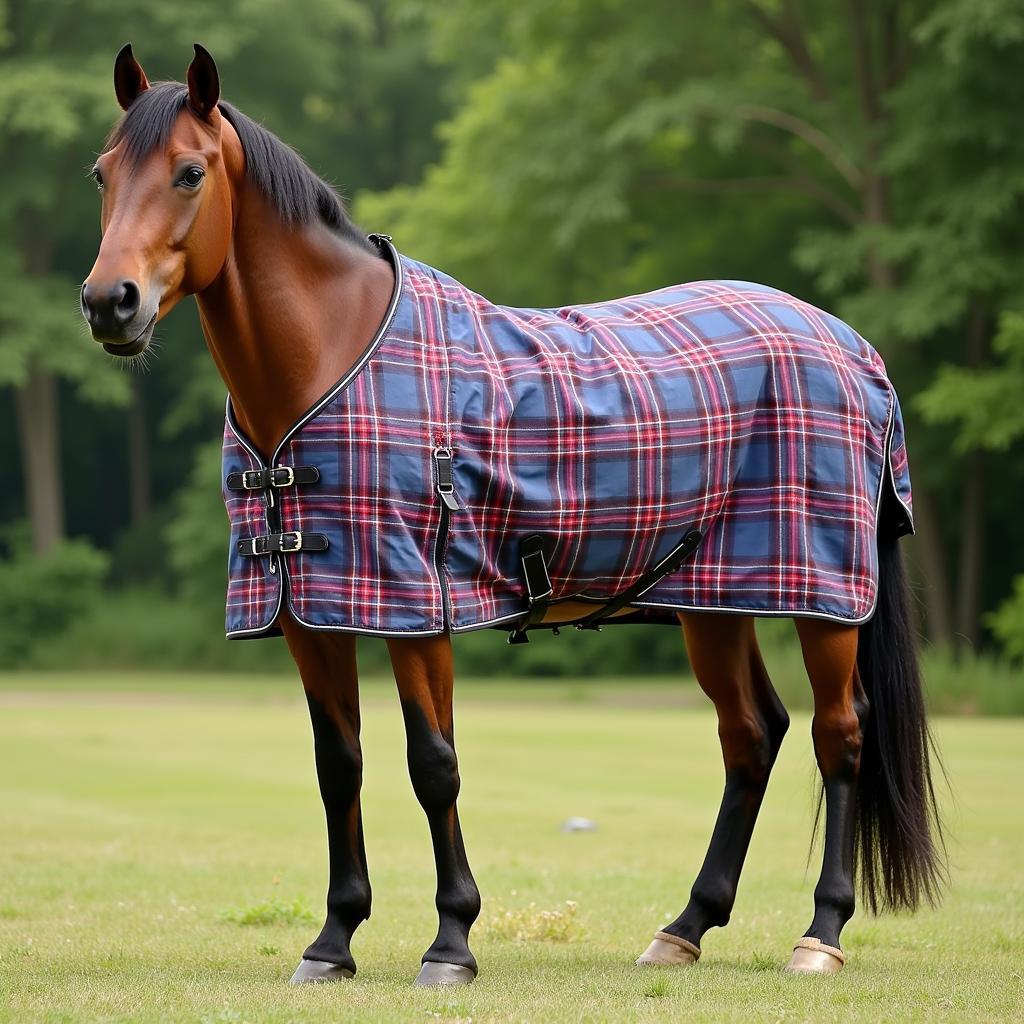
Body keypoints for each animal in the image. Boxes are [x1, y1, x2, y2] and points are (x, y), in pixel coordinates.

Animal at [79, 44, 942, 987]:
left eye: (190, 172)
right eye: (102, 173)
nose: (109, 302)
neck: (330, 361)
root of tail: (852, 345)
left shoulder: (417, 610)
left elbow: (434, 766)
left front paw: (451, 942)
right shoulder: (312, 610)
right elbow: (338, 766)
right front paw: (333, 942)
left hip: (826, 600)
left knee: (839, 735)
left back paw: (820, 934)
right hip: (713, 599)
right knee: (751, 735)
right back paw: (684, 927)